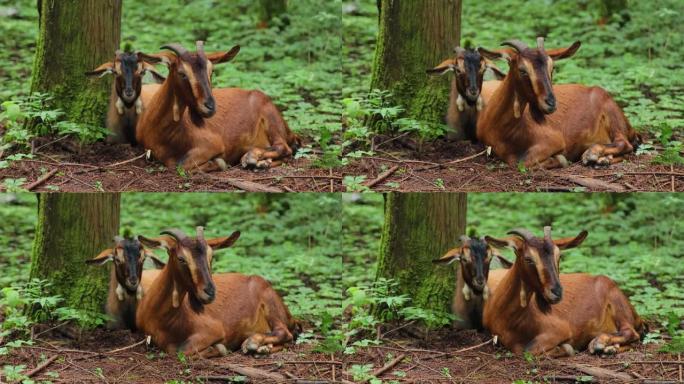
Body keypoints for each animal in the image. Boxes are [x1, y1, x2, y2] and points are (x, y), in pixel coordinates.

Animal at [135, 41, 300, 171]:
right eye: (182, 73)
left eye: (212, 71)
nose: (210, 106)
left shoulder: (212, 145)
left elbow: (181, 164)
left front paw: (219, 162)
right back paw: (261, 163)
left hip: (271, 120)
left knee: (284, 147)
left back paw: (251, 158)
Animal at [136, 228, 300, 356]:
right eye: (181, 258)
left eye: (212, 257)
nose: (209, 292)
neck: (159, 316)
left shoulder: (214, 330)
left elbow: (181, 349)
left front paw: (219, 348)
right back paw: (263, 348)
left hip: (270, 306)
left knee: (285, 333)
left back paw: (252, 343)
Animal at [478, 38, 640, 169]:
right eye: (522, 70)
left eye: (552, 68)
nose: (550, 103)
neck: (500, 127)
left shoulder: (553, 141)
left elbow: (524, 162)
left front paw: (560, 159)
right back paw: (603, 160)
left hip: (612, 117)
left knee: (624, 143)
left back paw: (592, 154)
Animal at [480, 228, 640, 356]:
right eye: (528, 259)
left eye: (559, 256)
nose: (556, 292)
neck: (507, 317)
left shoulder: (559, 330)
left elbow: (529, 349)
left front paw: (566, 348)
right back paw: (609, 348)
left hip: (618, 306)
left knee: (631, 332)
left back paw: (599, 343)